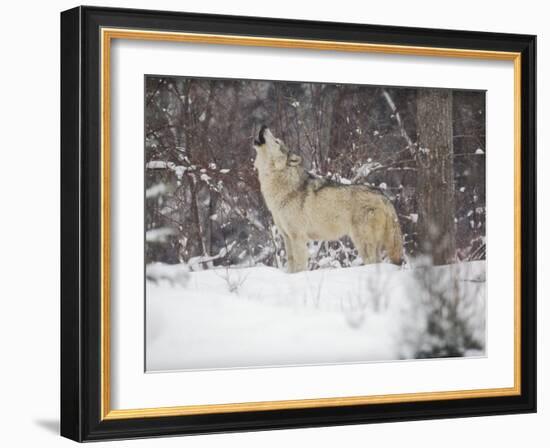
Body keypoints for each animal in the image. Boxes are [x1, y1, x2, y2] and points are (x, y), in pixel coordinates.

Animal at [254, 126, 406, 272]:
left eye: (276, 141)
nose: (264, 126)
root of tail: (383, 197)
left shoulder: (298, 237)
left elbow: (299, 267)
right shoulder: (287, 237)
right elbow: (291, 267)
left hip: (363, 243)